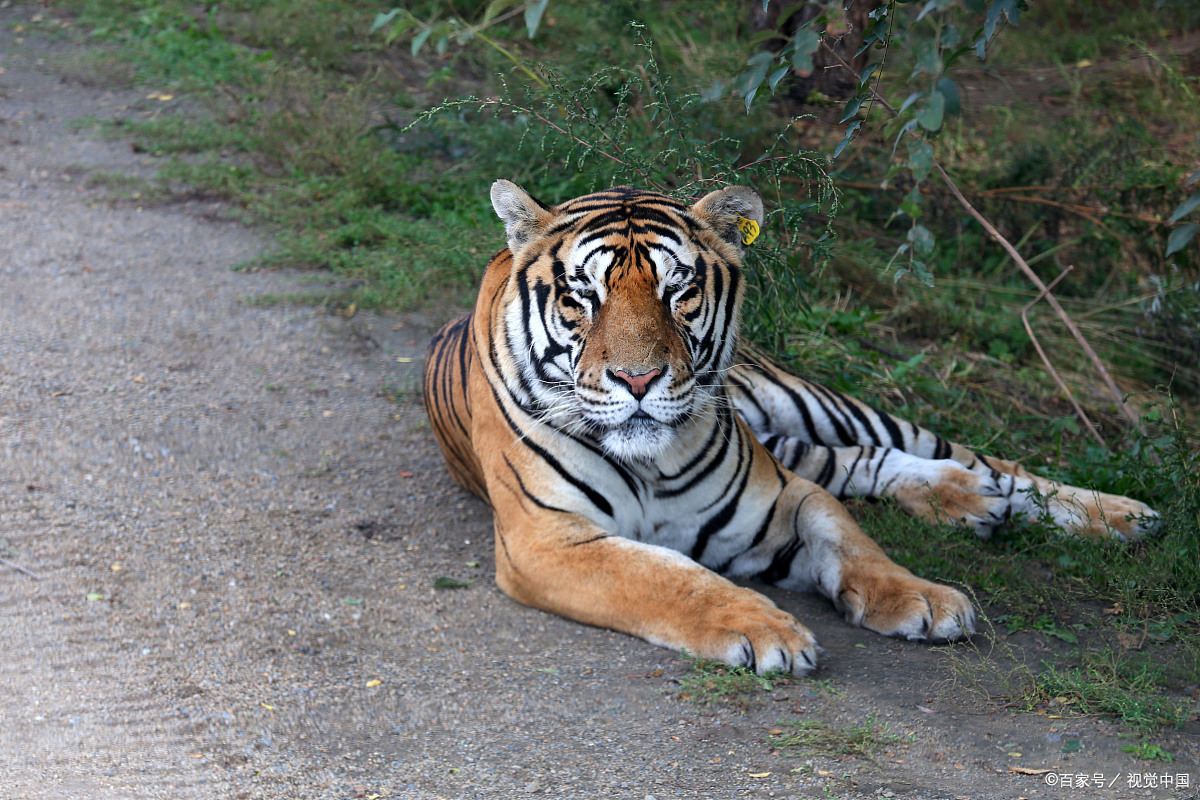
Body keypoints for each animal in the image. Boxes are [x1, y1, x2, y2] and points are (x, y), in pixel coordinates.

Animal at [424, 183, 1161, 676]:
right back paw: (971, 501)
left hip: (811, 405)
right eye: (582, 297)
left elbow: (853, 542)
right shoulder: (546, 540)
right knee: (869, 461)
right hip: (794, 439)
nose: (638, 379)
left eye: (679, 292)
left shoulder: (782, 497)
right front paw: (765, 630)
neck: (651, 464)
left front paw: (922, 597)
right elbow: (665, 576)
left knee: (977, 459)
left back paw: (1121, 516)